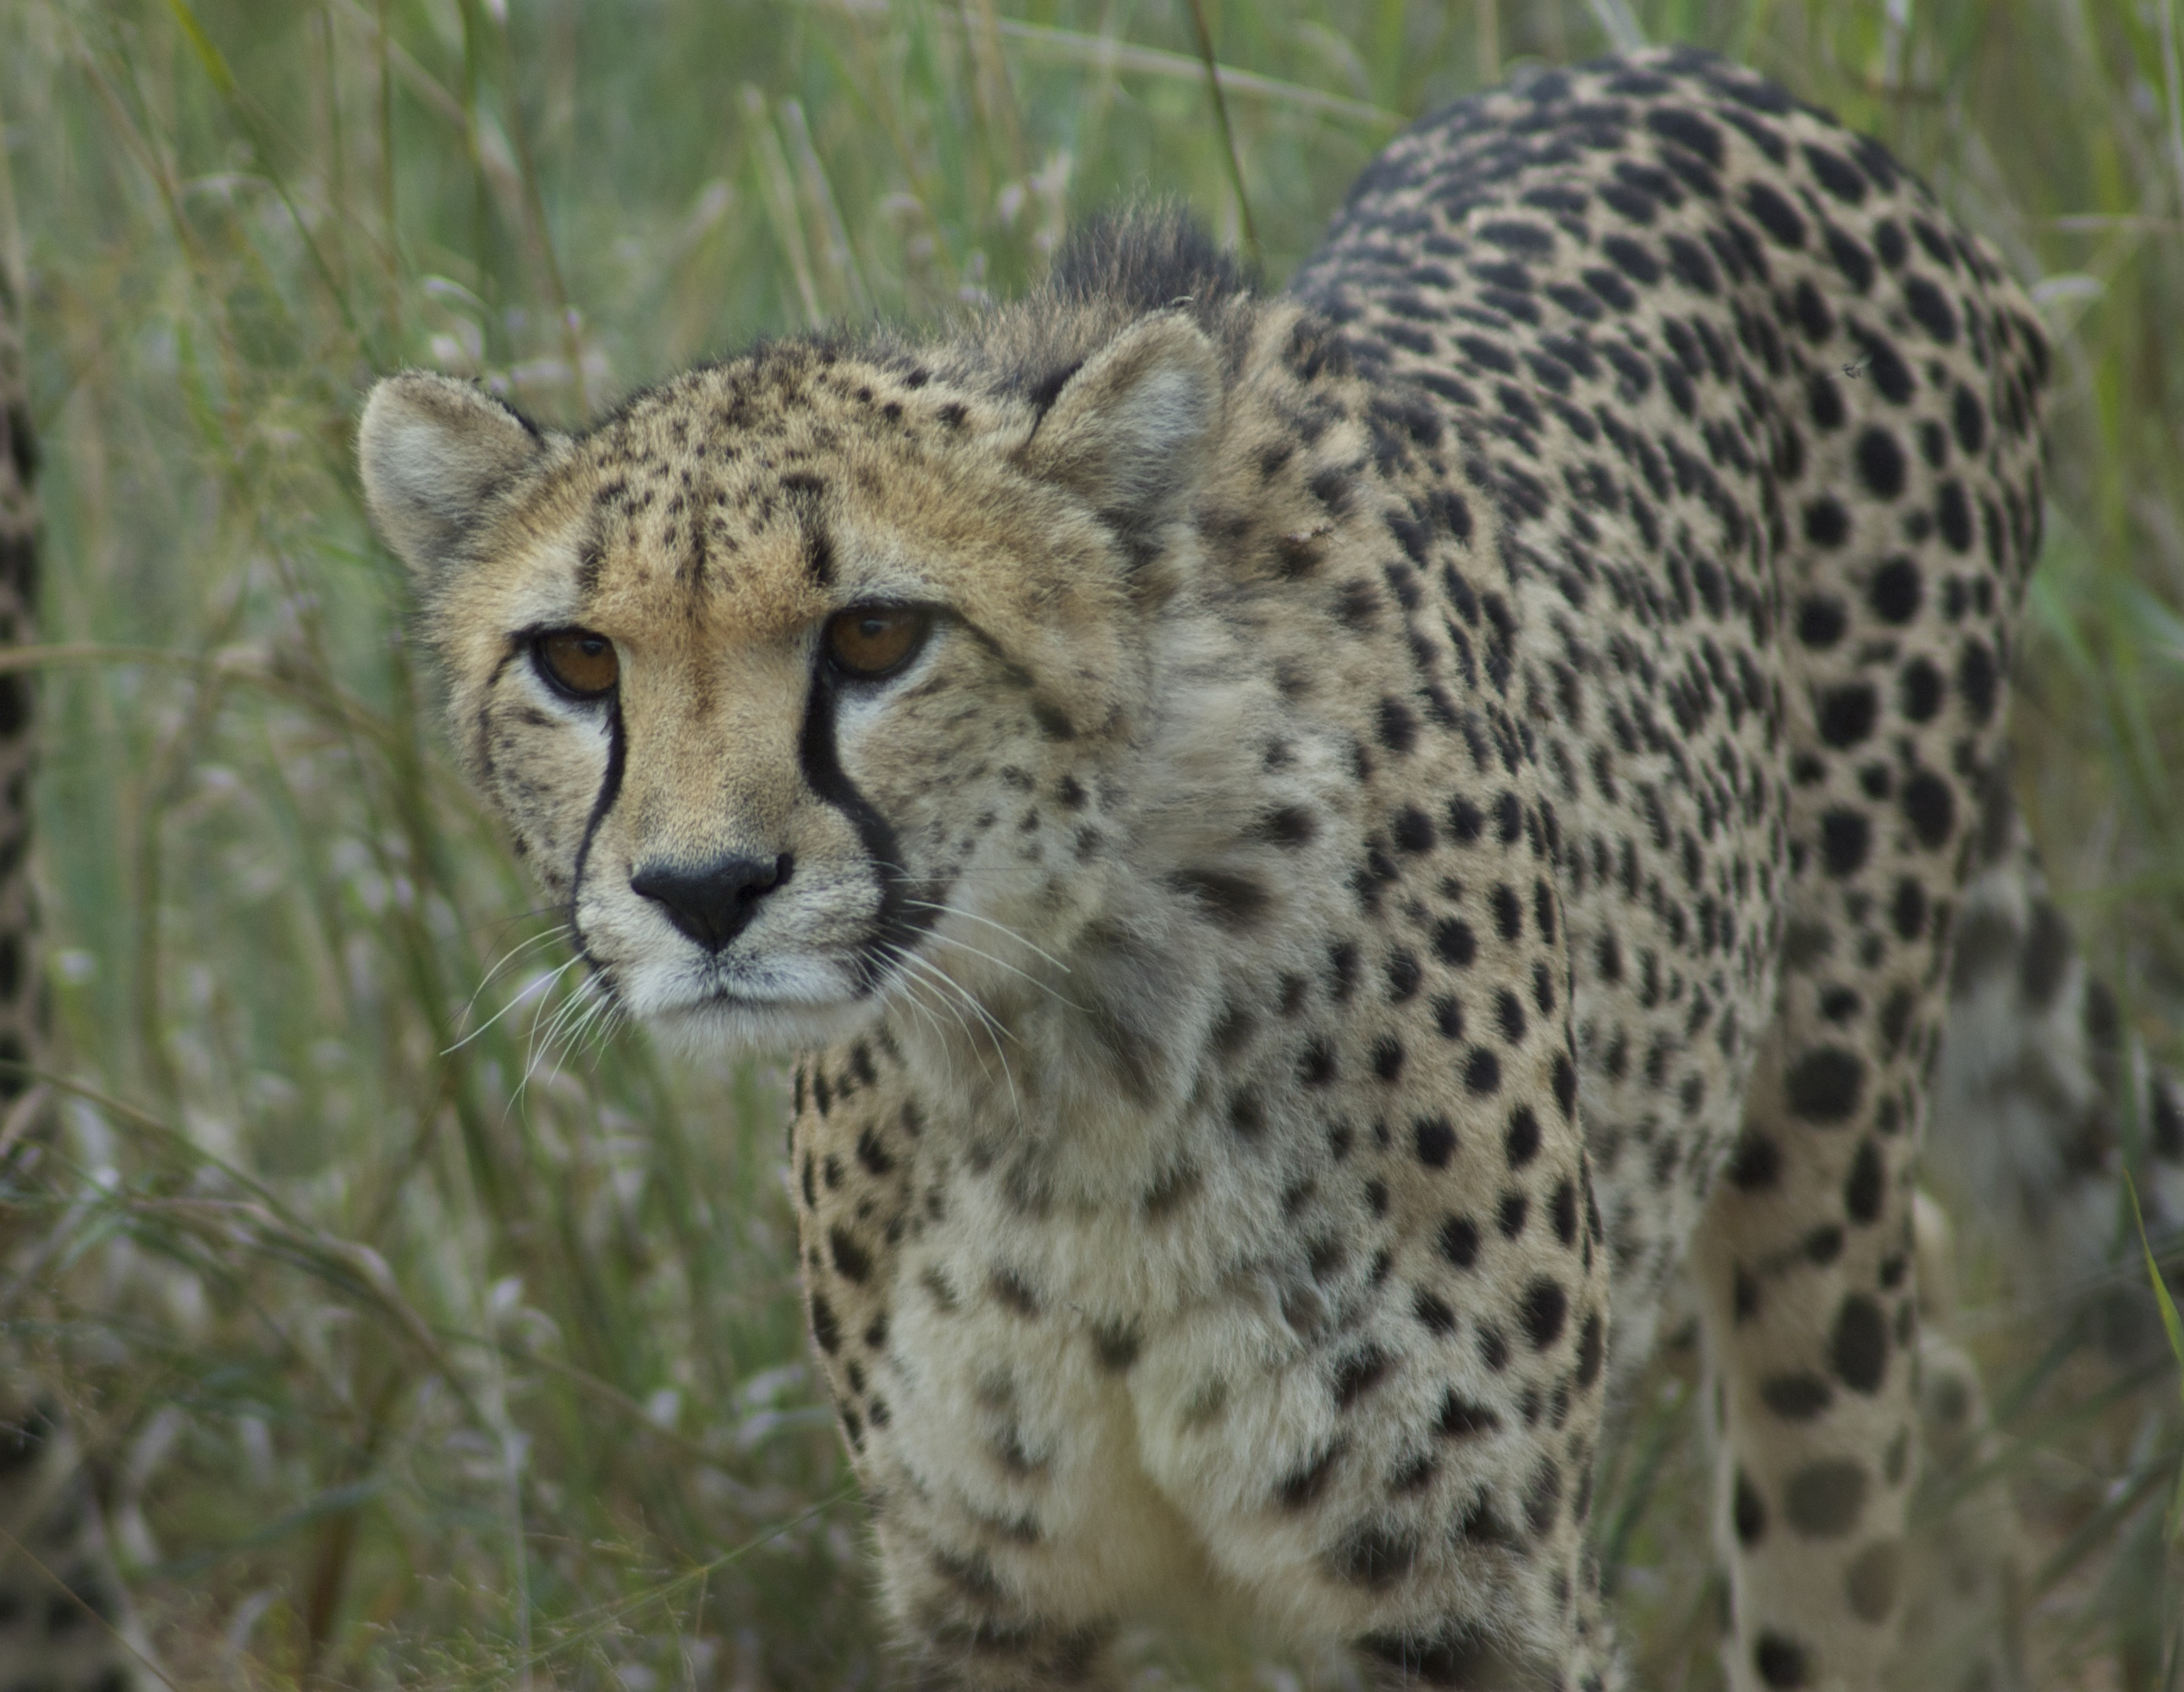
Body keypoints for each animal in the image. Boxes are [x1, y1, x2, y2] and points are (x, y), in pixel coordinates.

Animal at [354, 46, 2044, 1685]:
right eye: (577, 658)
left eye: (878, 634)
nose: (702, 890)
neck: (1067, 1070)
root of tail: (1682, 73)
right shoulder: (992, 1591)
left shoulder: (1474, 1593)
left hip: (1824, 1176)